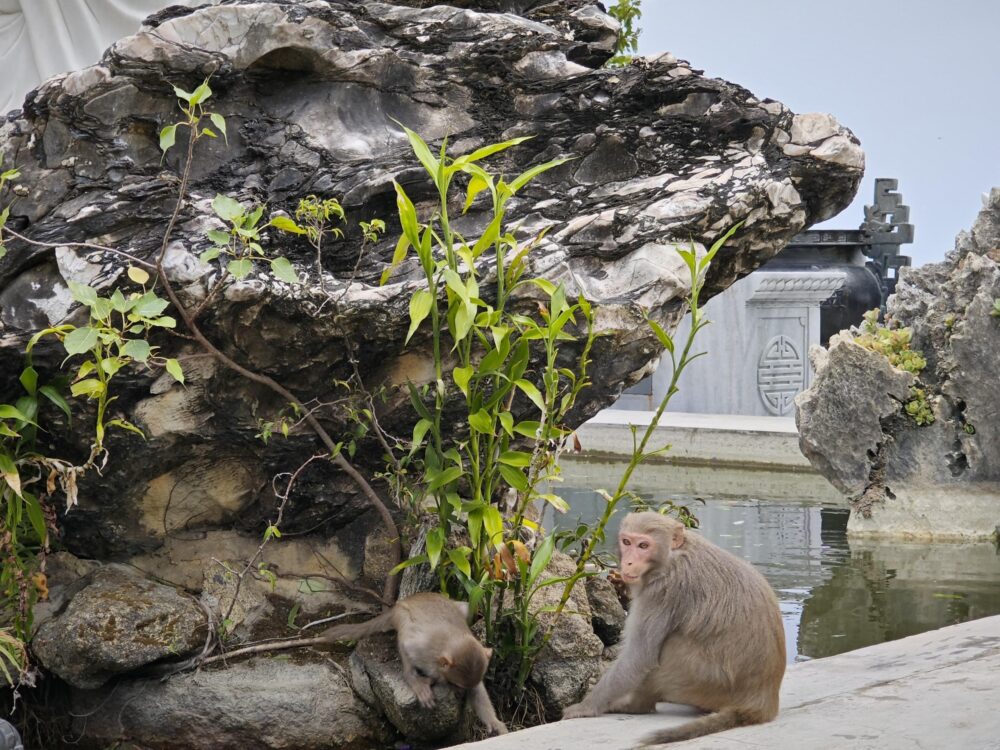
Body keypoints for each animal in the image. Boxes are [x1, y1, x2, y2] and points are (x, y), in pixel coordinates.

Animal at [323, 592, 508, 736]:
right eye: (456, 684)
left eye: (464, 687)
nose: (462, 694)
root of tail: (404, 601)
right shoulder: (423, 650)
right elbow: (407, 645)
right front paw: (415, 681)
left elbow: (478, 691)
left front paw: (494, 723)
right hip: (402, 615)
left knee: (467, 607)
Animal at [562, 511, 786, 745]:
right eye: (627, 542)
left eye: (643, 545)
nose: (628, 561)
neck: (672, 555)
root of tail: (764, 700)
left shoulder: (662, 590)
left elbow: (639, 656)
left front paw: (586, 707)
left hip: (704, 681)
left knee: (668, 648)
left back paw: (636, 705)